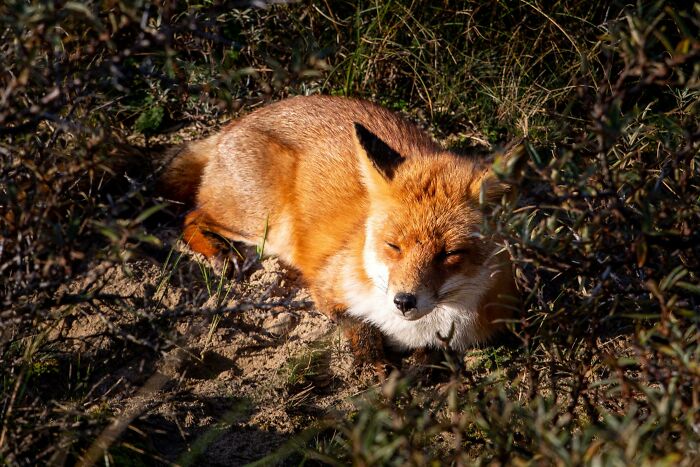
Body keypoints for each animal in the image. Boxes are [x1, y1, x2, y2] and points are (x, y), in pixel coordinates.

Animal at [161, 95, 517, 366]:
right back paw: (219, 252)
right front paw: (375, 366)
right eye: (393, 246)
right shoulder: (327, 284)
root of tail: (231, 127)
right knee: (191, 216)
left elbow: (428, 356)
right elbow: (361, 327)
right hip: (263, 225)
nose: (403, 301)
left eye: (450, 254)